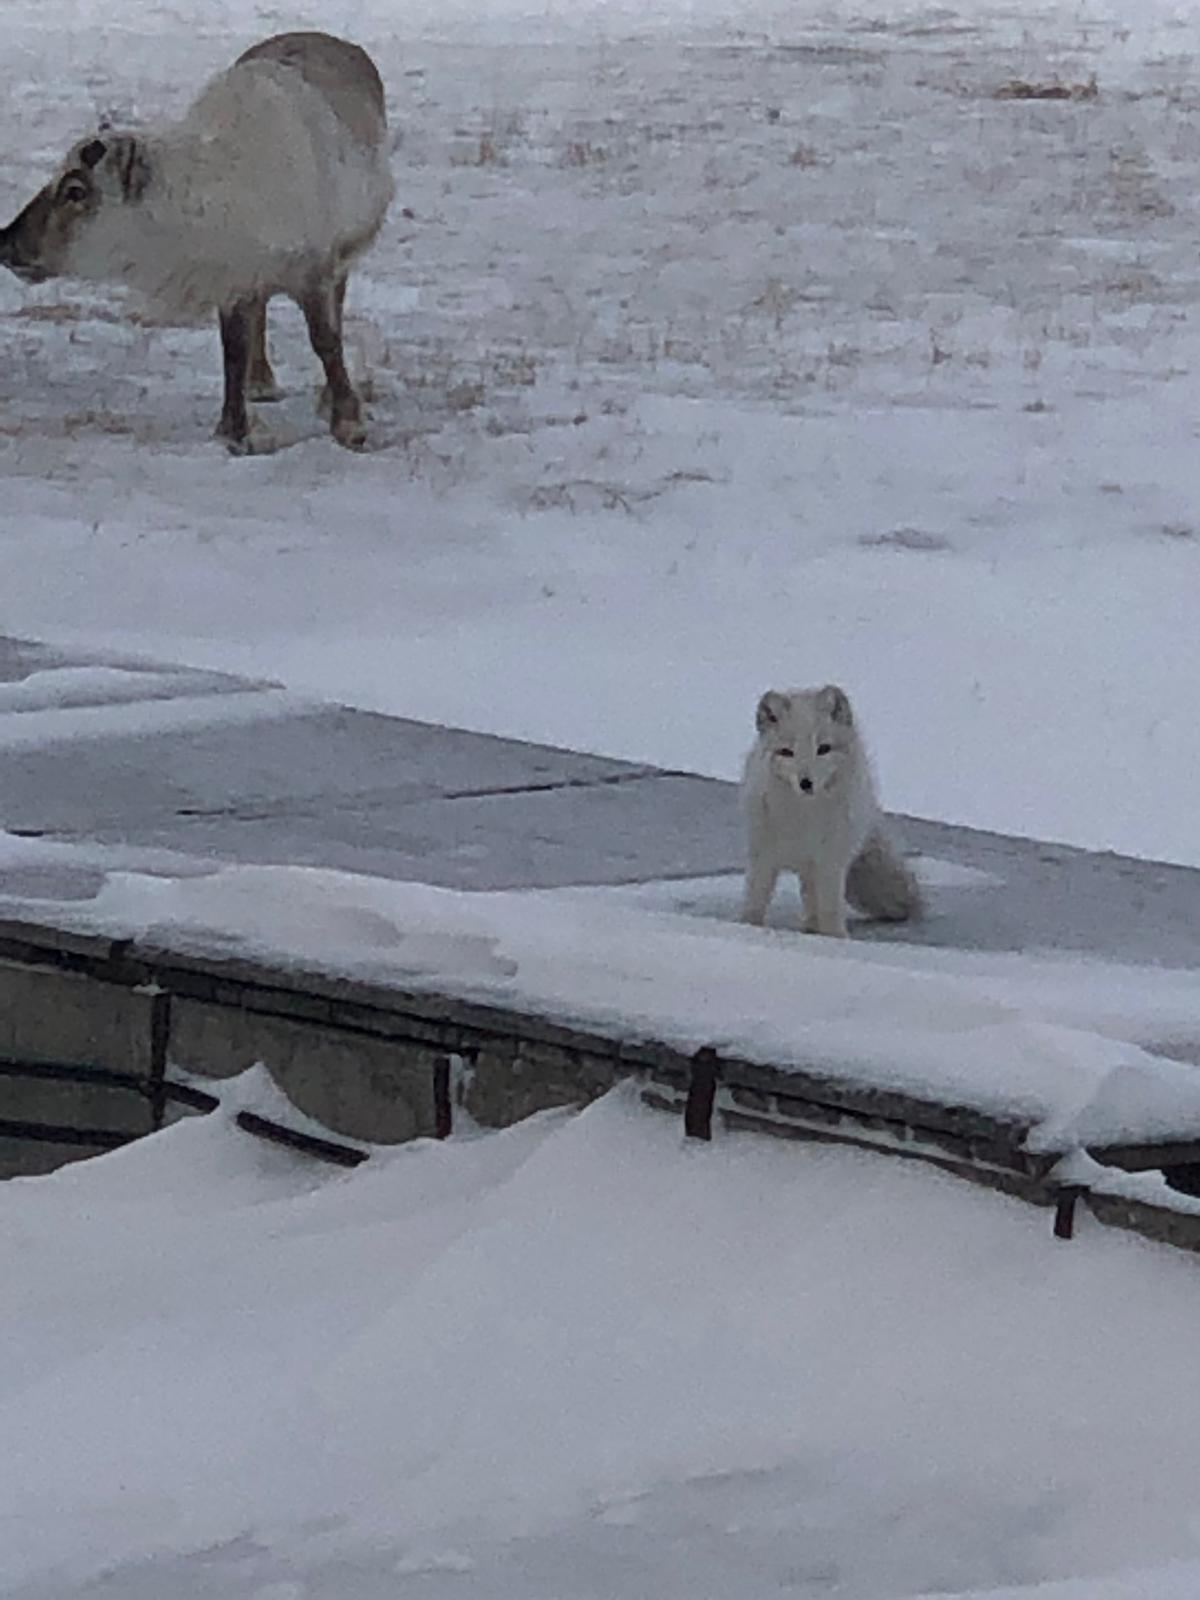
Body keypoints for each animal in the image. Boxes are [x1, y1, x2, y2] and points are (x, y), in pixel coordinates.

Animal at [739, 684, 928, 934]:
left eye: (824, 749)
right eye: (786, 752)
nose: (806, 783)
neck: (803, 818)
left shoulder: (830, 859)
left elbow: (829, 907)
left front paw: (834, 937)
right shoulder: (763, 855)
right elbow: (755, 900)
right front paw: (748, 926)